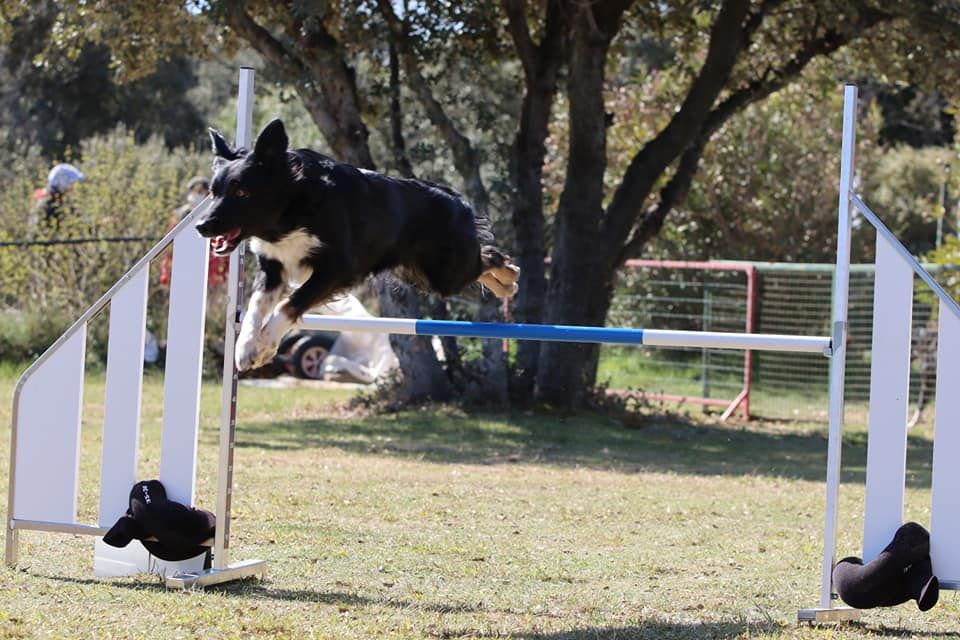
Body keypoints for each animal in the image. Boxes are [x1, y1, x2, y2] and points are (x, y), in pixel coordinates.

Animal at [196, 117, 520, 372]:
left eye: (241, 192)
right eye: (213, 192)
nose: (201, 226)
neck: (291, 209)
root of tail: (455, 198)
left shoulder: (337, 270)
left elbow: (289, 304)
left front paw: (265, 344)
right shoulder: (273, 268)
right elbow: (255, 308)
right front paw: (246, 349)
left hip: (445, 274)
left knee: (488, 258)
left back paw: (510, 276)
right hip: (420, 274)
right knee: (484, 260)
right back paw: (506, 282)